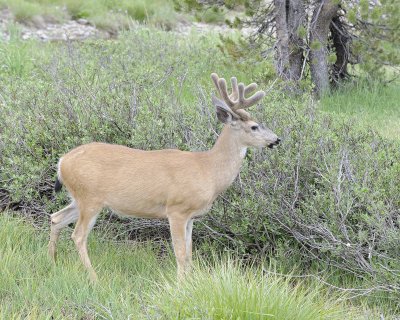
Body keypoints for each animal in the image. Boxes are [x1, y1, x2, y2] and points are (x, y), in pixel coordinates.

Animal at [48, 72, 280, 280]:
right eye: (254, 126)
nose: (277, 139)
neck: (208, 170)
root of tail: (62, 161)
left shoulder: (191, 216)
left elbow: (189, 255)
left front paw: (190, 283)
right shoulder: (177, 209)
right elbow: (180, 254)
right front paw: (179, 286)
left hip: (80, 198)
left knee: (56, 218)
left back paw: (54, 263)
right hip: (90, 198)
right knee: (78, 235)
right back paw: (94, 278)